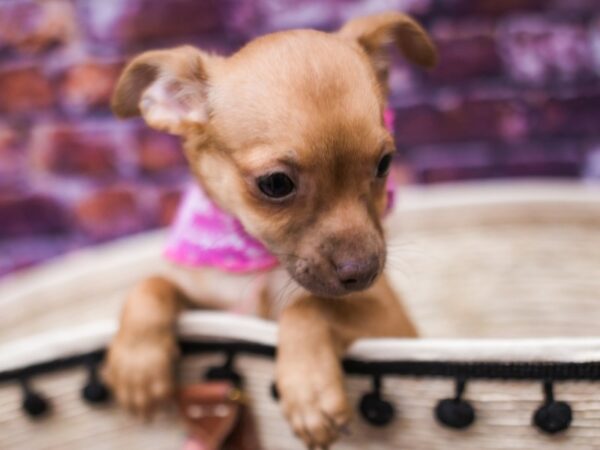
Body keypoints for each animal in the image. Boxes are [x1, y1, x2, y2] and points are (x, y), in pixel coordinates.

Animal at [104, 12, 436, 448]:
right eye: (275, 184)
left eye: (384, 164)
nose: (363, 271)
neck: (261, 265)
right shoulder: (213, 303)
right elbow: (154, 284)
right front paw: (137, 362)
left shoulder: (396, 325)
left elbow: (308, 305)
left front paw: (309, 391)